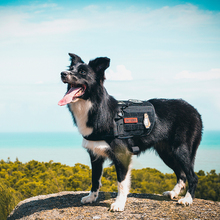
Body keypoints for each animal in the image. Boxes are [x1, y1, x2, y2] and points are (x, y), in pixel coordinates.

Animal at [58, 53, 203, 211]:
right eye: (71, 68)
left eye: (83, 72)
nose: (63, 73)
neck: (97, 109)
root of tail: (194, 110)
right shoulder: (95, 154)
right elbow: (95, 178)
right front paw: (91, 197)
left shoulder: (122, 155)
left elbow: (121, 183)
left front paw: (119, 204)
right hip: (166, 152)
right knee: (182, 174)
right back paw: (174, 192)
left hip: (180, 150)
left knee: (192, 176)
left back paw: (187, 199)